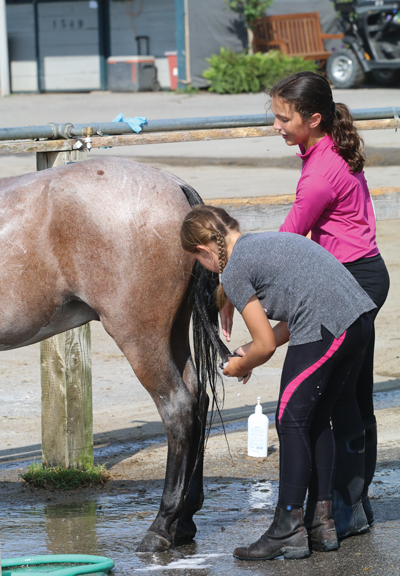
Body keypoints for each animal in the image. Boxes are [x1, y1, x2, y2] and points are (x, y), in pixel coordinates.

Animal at [0, 155, 223, 552]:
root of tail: (175, 186)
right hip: (172, 334)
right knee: (197, 399)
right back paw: (184, 521)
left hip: (140, 339)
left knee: (178, 410)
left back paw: (161, 526)